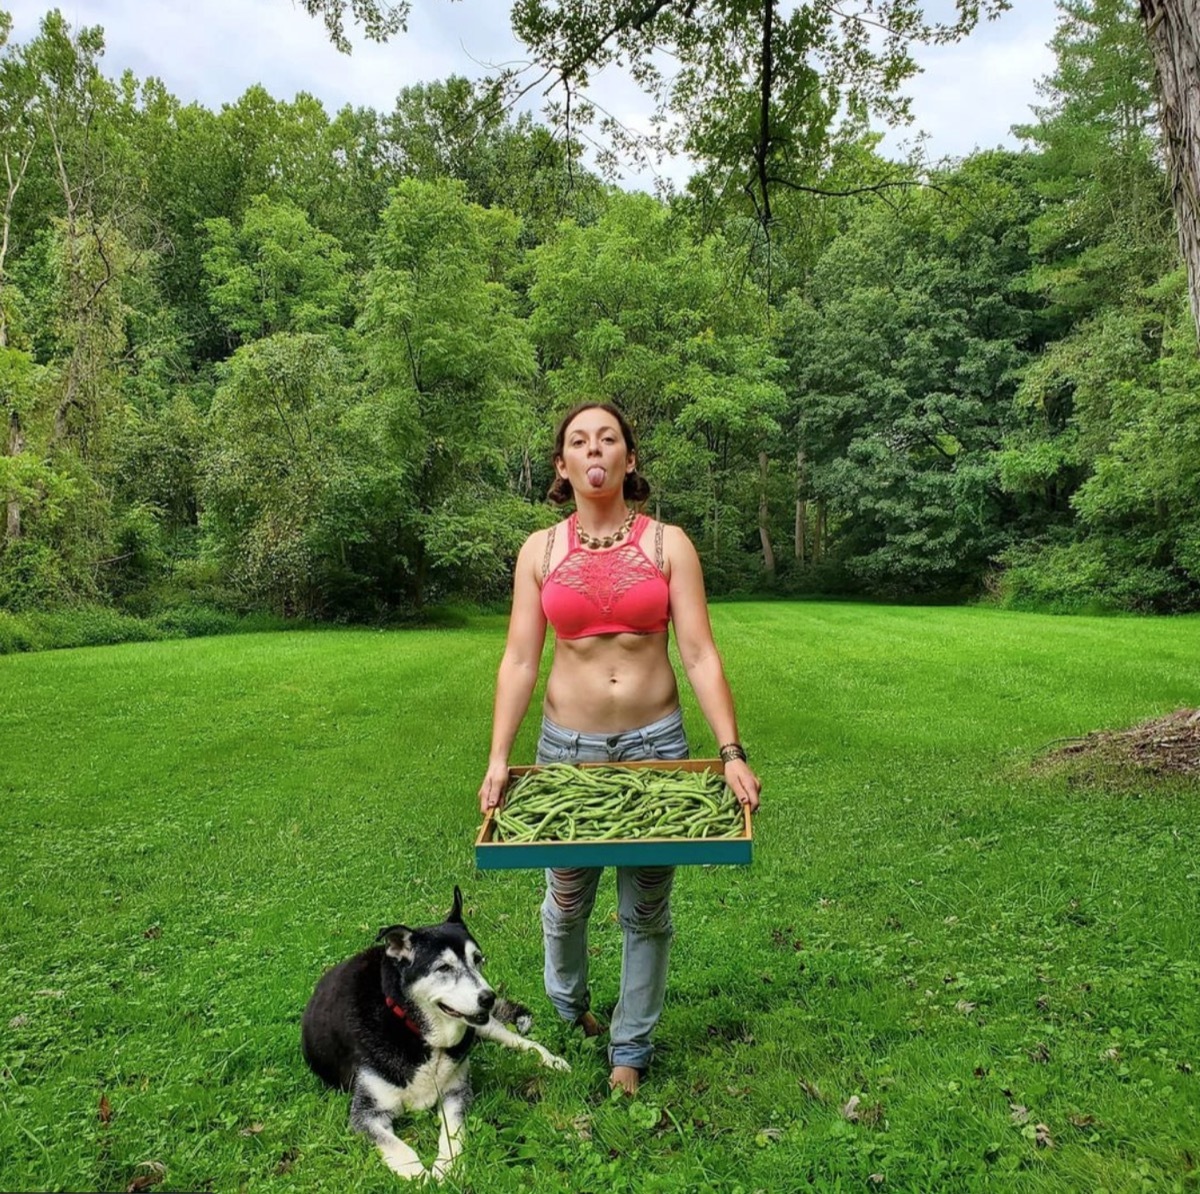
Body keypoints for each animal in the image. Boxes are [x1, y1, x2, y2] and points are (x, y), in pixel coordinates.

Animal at [297, 883, 564, 1180]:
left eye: (477, 959)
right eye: (443, 967)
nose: (488, 997)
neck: (417, 1032)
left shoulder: (456, 1092)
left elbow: (452, 1132)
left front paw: (447, 1168)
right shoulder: (366, 1114)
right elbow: (400, 1147)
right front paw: (422, 1177)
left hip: (485, 1027)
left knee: (519, 1041)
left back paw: (551, 1060)